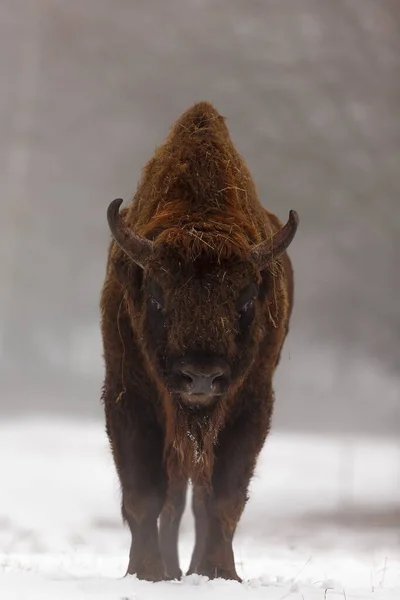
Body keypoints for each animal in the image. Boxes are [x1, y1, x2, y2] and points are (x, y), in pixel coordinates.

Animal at [101, 102, 298, 580]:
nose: (202, 378)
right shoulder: (128, 398)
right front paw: (148, 573)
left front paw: (220, 573)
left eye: (245, 300)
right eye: (157, 296)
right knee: (173, 499)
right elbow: (145, 496)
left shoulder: (250, 405)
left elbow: (223, 499)